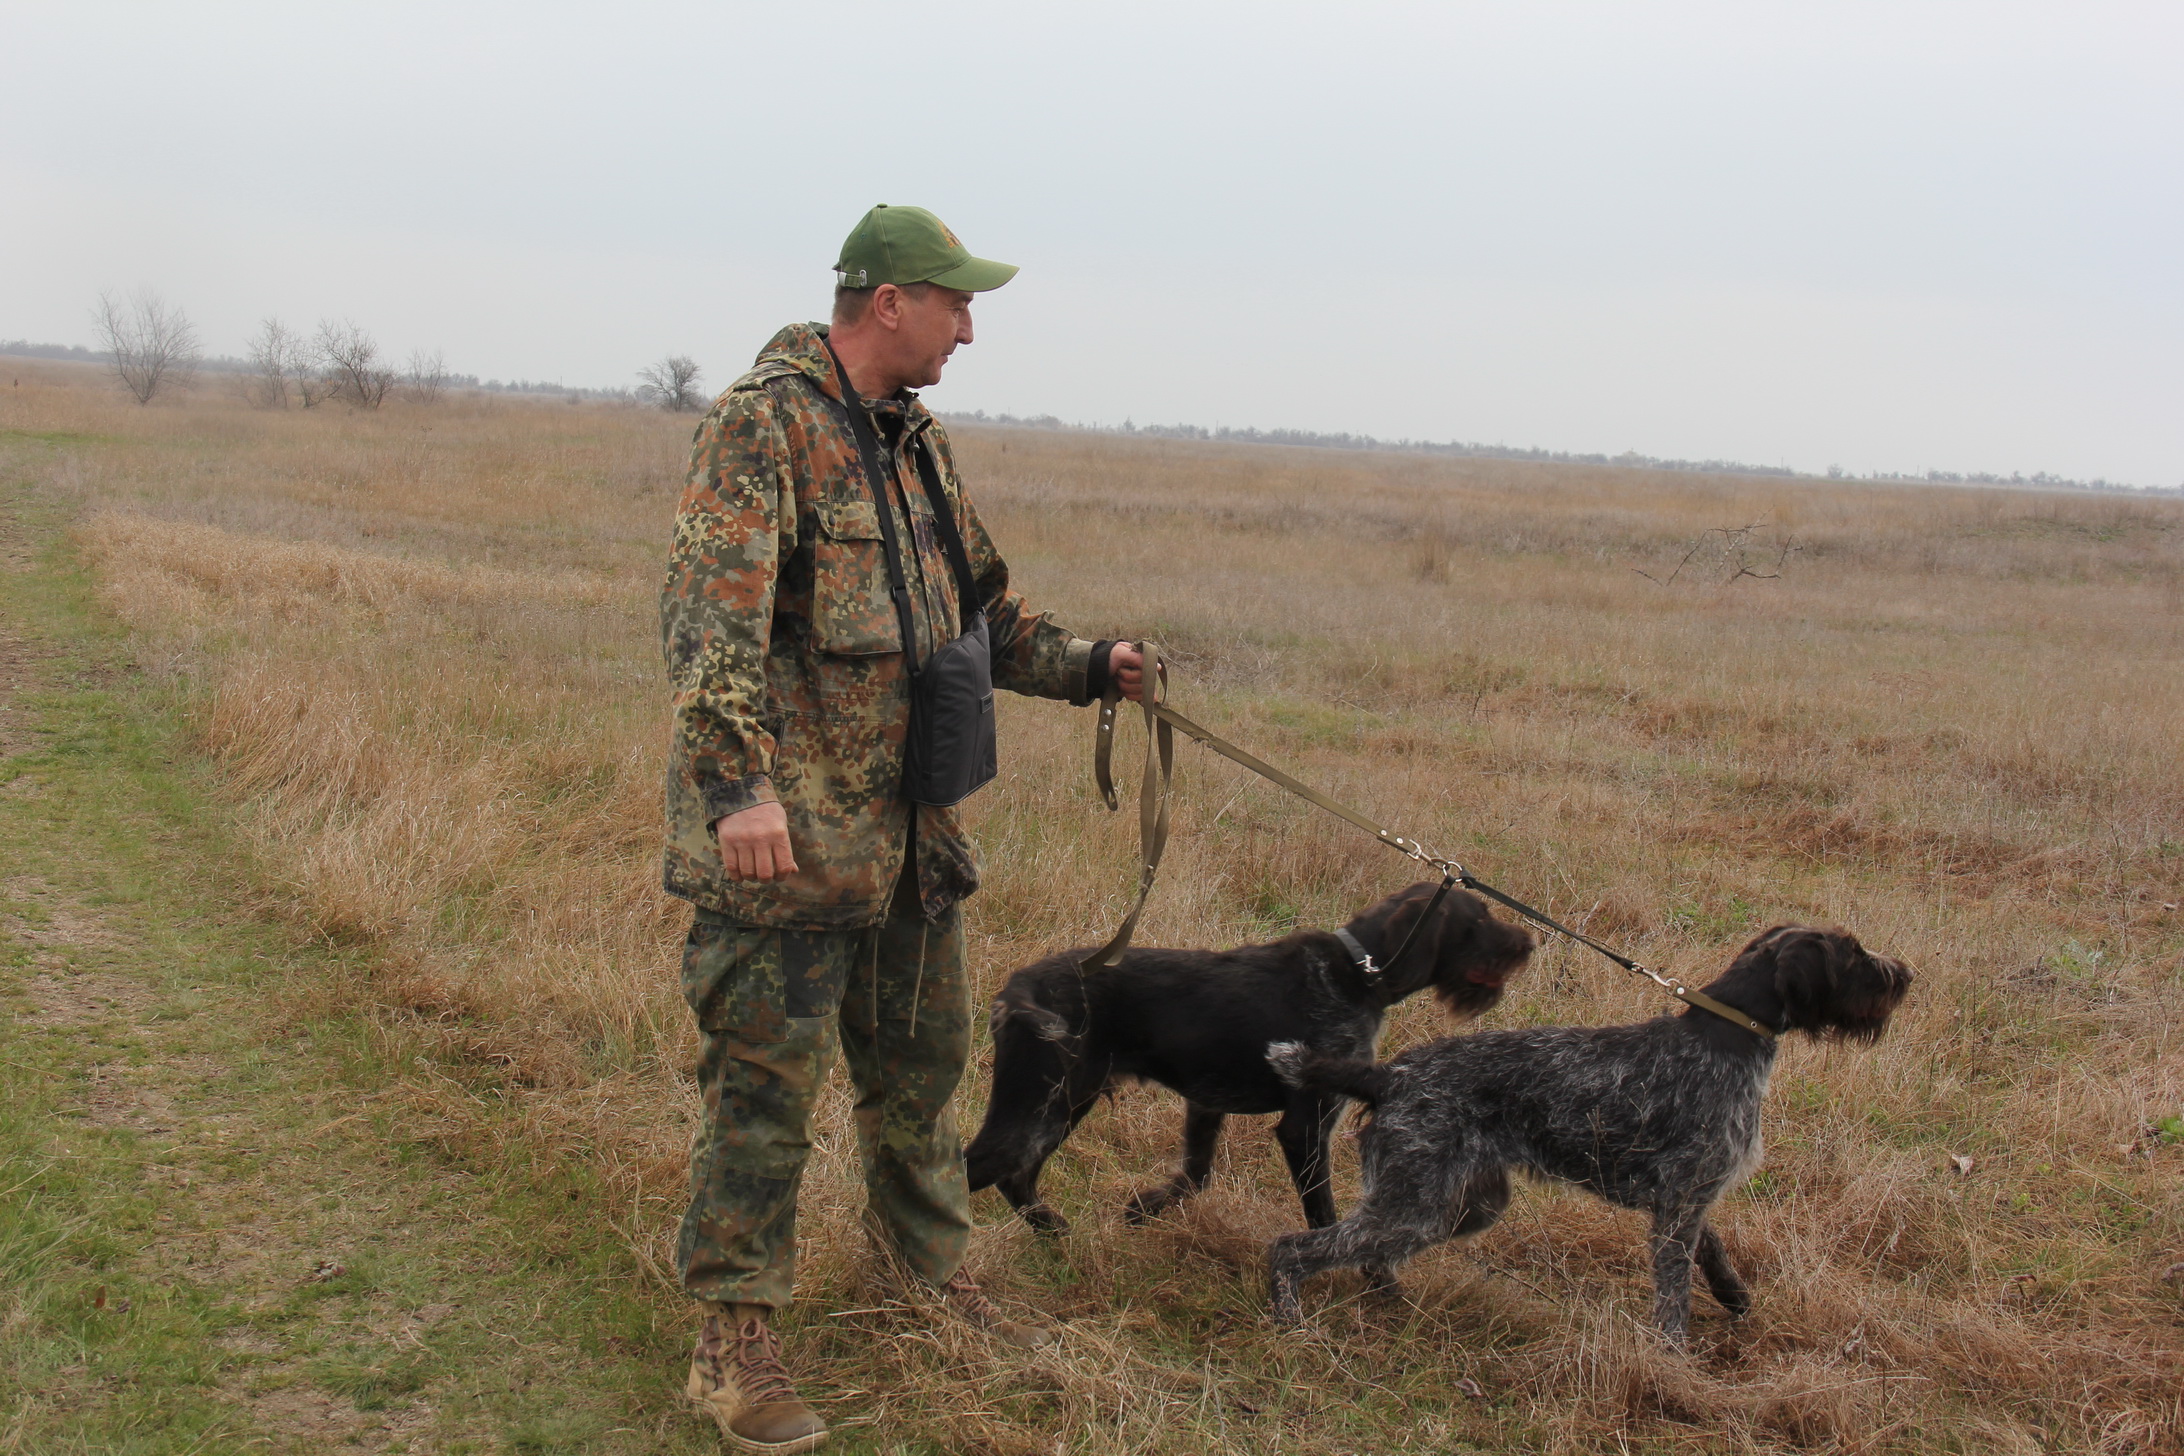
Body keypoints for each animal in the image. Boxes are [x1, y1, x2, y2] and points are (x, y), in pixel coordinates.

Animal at [964, 882, 1536, 1234]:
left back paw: (1052, 1231)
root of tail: (1017, 986)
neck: (1356, 973)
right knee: (978, 1168)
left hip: (1063, 1104)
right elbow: (1324, 1214)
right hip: (1040, 1102)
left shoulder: (1206, 1102)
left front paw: (1143, 1209)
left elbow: (1194, 1176)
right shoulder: (1308, 1123)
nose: (1529, 942)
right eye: (1479, 920)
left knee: (1015, 1176)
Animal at [1263, 925, 1912, 1344]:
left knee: (1363, 1249)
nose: (1905, 974)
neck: (1726, 1038)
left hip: (1459, 1204)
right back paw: (1289, 1317)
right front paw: (1673, 1363)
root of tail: (1390, 1076)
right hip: (1418, 1202)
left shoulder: (1686, 1198)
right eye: (1853, 953)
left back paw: (1385, 1296)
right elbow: (1673, 1297)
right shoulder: (1681, 1202)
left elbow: (1712, 1248)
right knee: (1293, 1247)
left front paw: (1733, 1296)